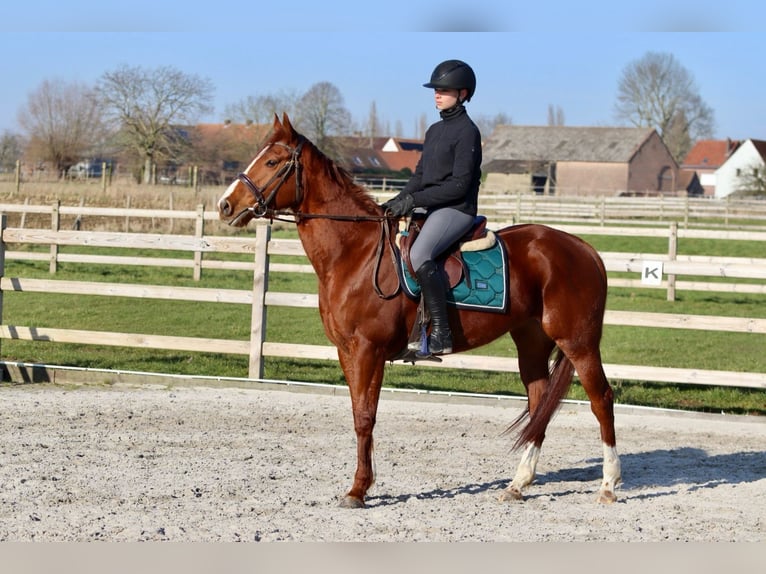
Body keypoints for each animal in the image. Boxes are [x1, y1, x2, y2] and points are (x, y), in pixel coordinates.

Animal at [218, 112, 624, 508]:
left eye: (272, 161)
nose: (225, 206)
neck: (355, 253)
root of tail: (586, 250)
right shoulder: (347, 351)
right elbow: (357, 414)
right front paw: (360, 485)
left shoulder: (369, 351)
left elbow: (365, 417)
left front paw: (358, 490)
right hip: (532, 340)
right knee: (540, 402)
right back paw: (518, 483)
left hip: (578, 341)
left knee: (601, 398)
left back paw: (608, 484)